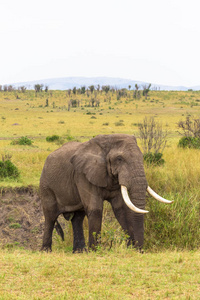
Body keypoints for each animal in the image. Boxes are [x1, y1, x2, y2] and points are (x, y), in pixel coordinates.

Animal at [39, 132, 172, 252]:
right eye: (119, 159)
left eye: (142, 157)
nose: (140, 250)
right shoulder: (82, 175)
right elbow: (95, 209)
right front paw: (95, 251)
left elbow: (121, 209)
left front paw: (131, 249)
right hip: (46, 185)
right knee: (50, 216)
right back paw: (46, 251)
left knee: (78, 218)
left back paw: (79, 251)